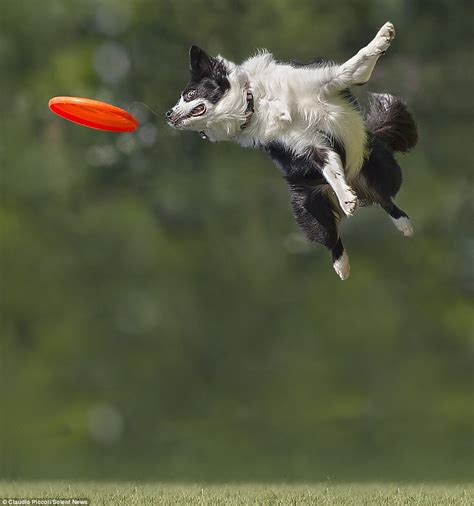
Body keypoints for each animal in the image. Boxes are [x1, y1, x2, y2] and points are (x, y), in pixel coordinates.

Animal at [165, 21, 416, 278]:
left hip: (380, 167)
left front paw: (384, 36)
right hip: (308, 204)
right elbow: (331, 171)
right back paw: (342, 265)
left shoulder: (329, 81)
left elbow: (356, 63)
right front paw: (346, 199)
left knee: (384, 198)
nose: (168, 115)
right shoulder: (310, 147)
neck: (256, 102)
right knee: (331, 235)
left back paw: (403, 224)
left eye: (190, 95)